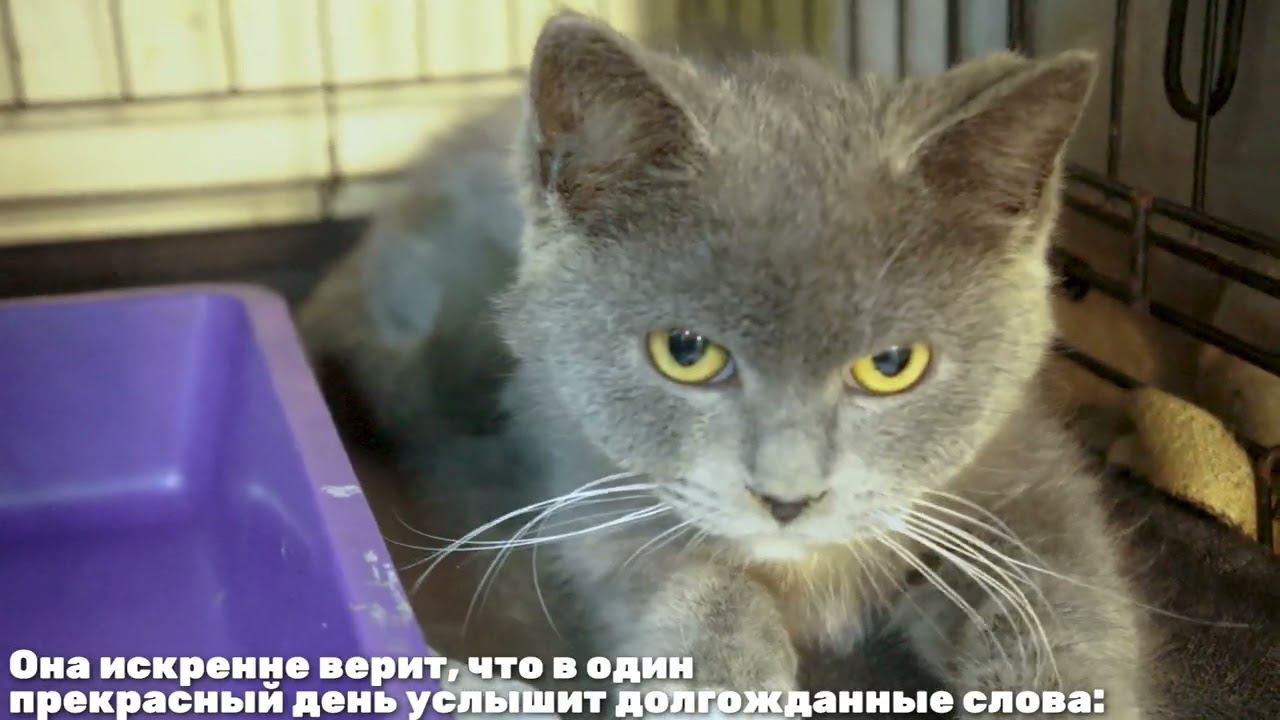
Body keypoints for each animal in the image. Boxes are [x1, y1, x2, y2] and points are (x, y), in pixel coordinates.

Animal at [301, 12, 1149, 719]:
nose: (787, 499)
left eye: (892, 364)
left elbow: (1069, 593)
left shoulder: (1021, 462)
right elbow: (671, 567)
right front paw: (722, 680)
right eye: (686, 352)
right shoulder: (578, 467)